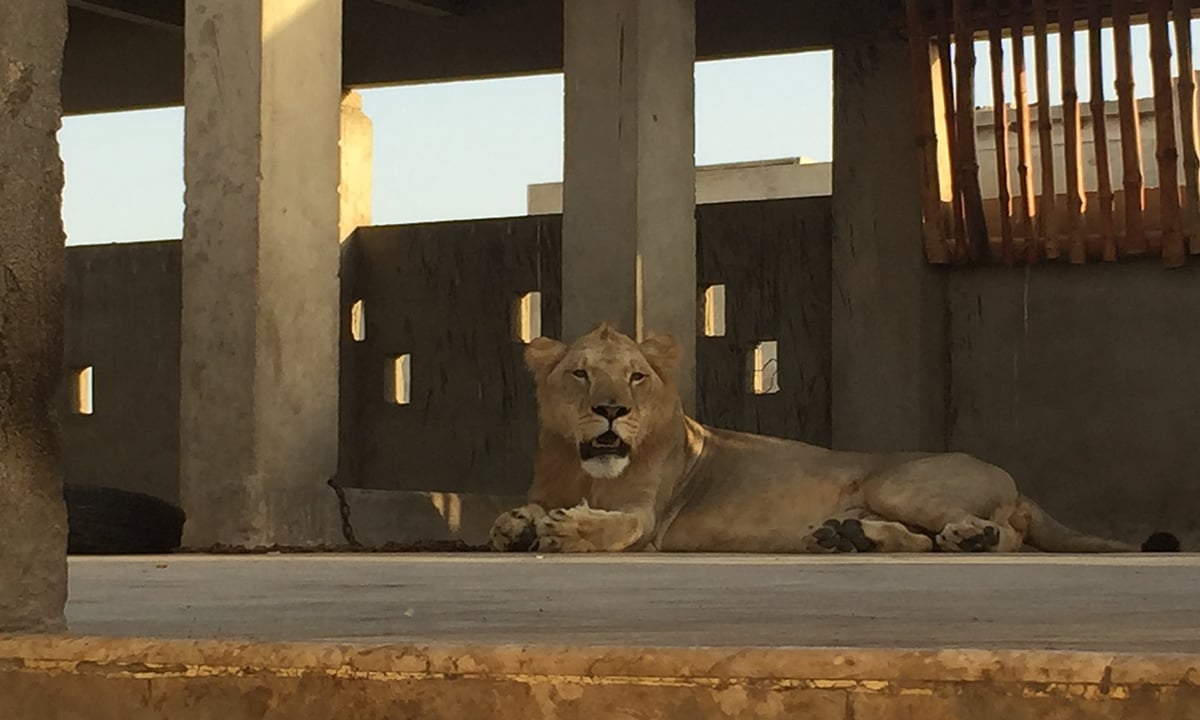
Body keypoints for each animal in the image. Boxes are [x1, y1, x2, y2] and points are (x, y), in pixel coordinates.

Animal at [490, 324, 1181, 555]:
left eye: (636, 375)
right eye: (580, 374)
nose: (611, 410)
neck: (581, 467)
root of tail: (1013, 480)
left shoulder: (650, 517)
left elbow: (616, 526)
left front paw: (567, 530)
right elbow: (514, 514)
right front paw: (517, 527)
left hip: (901, 483)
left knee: (1002, 537)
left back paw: (971, 537)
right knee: (922, 542)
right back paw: (851, 536)